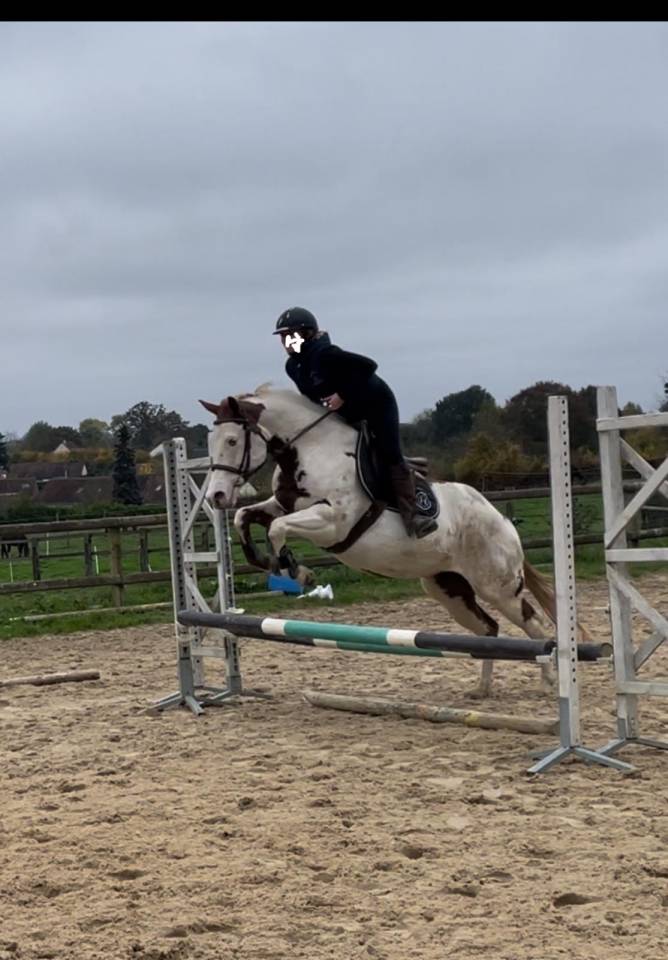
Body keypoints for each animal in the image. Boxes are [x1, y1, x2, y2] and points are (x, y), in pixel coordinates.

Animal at [200, 385, 568, 696]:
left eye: (231, 441)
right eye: (210, 441)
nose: (216, 496)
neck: (310, 451)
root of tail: (502, 521)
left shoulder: (333, 522)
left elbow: (277, 528)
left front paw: (296, 571)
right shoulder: (282, 505)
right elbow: (245, 517)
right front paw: (268, 562)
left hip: (497, 586)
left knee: (533, 623)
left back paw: (548, 683)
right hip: (448, 589)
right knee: (489, 630)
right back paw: (482, 689)